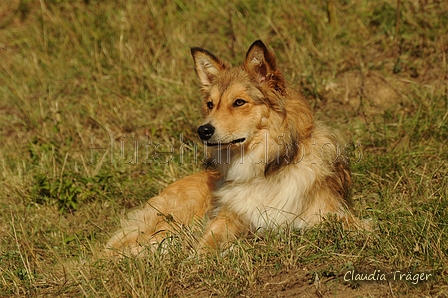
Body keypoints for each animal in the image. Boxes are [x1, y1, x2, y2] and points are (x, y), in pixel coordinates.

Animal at [105, 40, 354, 256]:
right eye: (210, 104)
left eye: (239, 102)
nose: (203, 131)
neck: (266, 167)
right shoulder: (225, 217)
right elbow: (206, 243)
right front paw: (200, 257)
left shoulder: (332, 214)